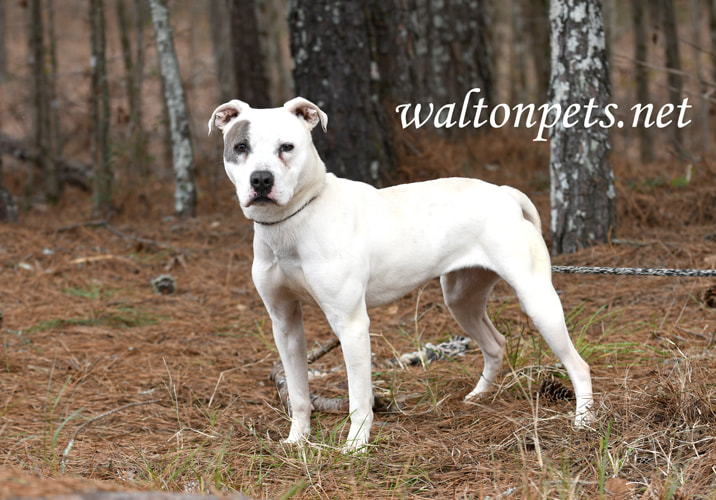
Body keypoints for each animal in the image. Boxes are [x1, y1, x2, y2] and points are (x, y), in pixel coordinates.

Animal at [208, 96, 592, 450]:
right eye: (241, 147)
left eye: (286, 147)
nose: (261, 180)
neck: (294, 222)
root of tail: (504, 193)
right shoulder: (284, 323)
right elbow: (299, 392)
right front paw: (297, 440)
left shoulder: (351, 324)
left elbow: (359, 397)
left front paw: (356, 446)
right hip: (461, 299)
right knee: (495, 344)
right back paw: (478, 396)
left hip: (537, 300)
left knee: (577, 364)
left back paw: (584, 421)